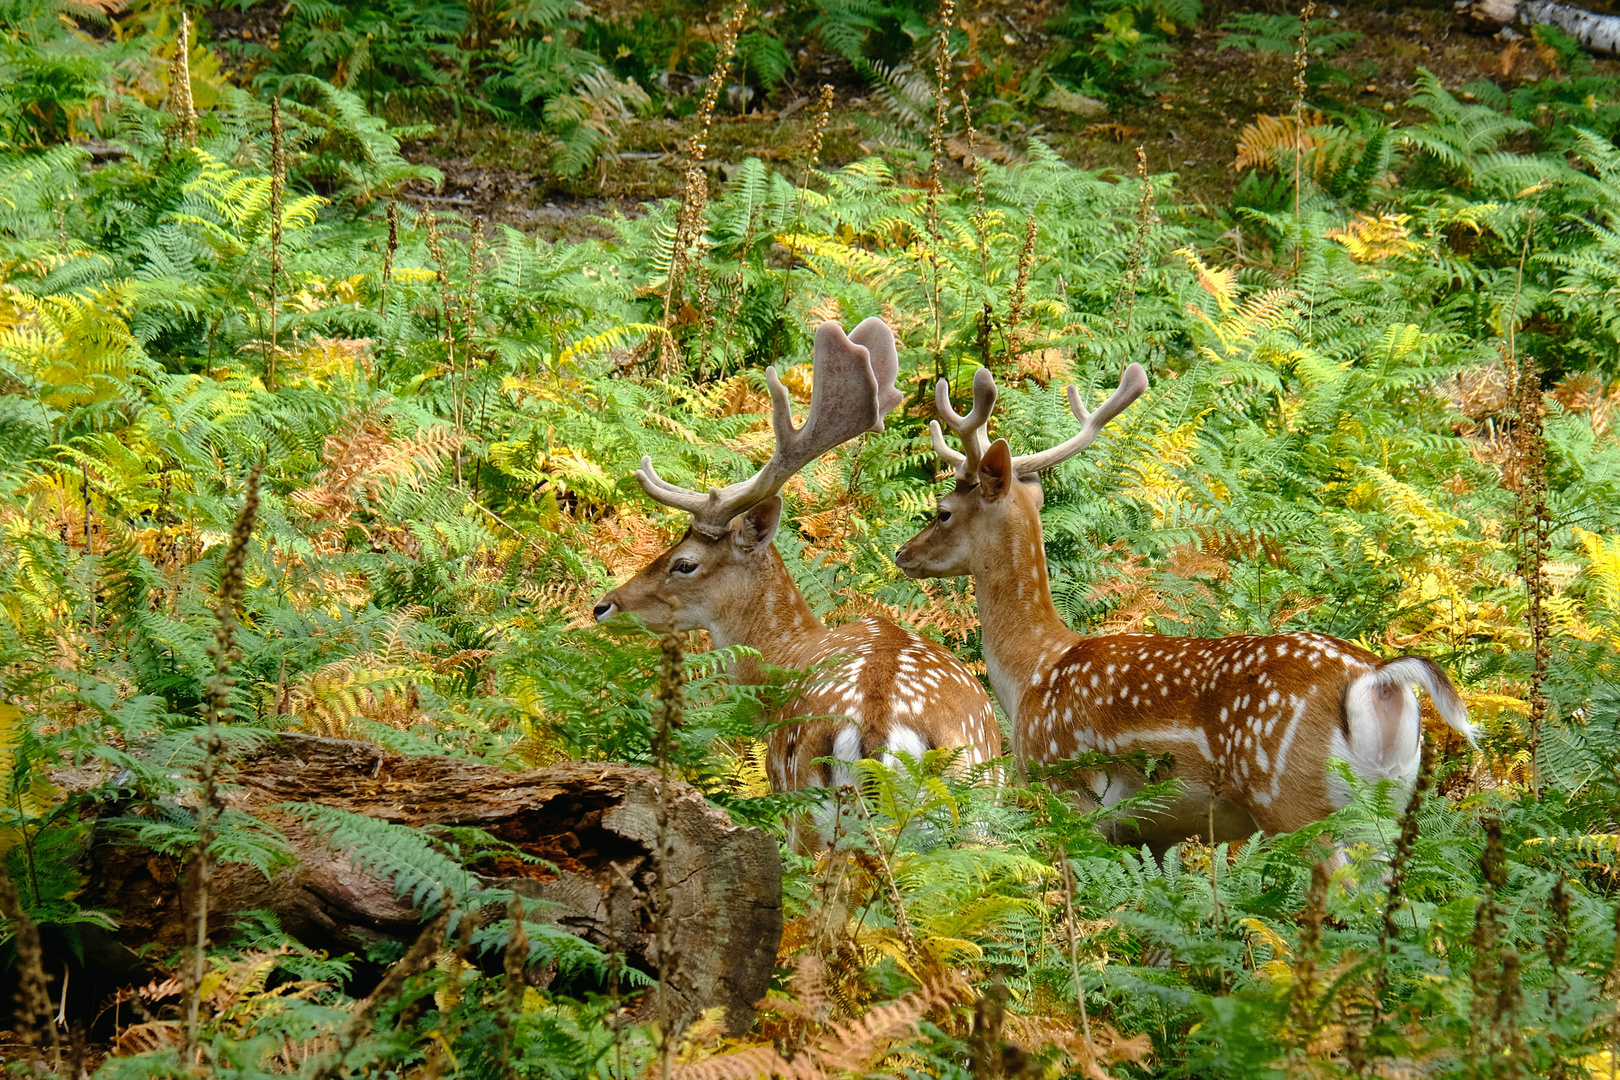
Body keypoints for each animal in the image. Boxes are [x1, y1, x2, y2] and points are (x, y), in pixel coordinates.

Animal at [894, 367, 1477, 848]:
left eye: (942, 512)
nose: (902, 554)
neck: (1032, 673)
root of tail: (1379, 681)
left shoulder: (1067, 790)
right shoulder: (1153, 833)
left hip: (1296, 803)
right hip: (1393, 805)